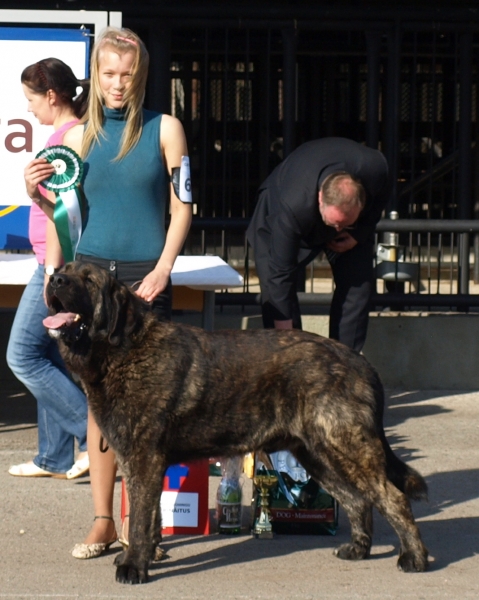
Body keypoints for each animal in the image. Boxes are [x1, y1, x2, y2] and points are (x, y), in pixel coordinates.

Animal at [43, 262, 430, 580]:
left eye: (88, 280)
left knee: (392, 498)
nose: (55, 279)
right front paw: (147, 555)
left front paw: (134, 566)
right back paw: (359, 550)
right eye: (64, 269)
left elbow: (140, 519)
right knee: (358, 500)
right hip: (318, 455)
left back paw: (414, 558)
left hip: (347, 447)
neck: (124, 348)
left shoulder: (143, 459)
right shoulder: (142, 462)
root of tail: (358, 360)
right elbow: (152, 517)